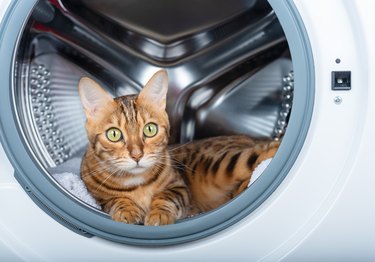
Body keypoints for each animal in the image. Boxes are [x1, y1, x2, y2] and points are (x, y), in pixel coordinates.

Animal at [78, 70, 280, 226]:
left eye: (150, 129)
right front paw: (126, 210)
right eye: (114, 134)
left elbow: (167, 198)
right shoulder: (97, 196)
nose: (137, 155)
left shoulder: (179, 187)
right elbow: (114, 200)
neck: (136, 183)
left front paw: (158, 214)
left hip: (223, 163)